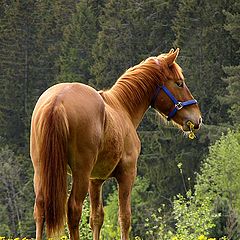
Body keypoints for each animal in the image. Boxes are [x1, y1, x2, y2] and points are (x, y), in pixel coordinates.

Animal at [30, 47, 202, 239]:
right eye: (179, 83)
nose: (197, 118)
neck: (122, 107)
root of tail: (58, 100)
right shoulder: (127, 174)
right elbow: (124, 217)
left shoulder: (95, 180)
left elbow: (96, 218)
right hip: (80, 172)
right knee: (73, 209)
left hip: (42, 170)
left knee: (40, 208)